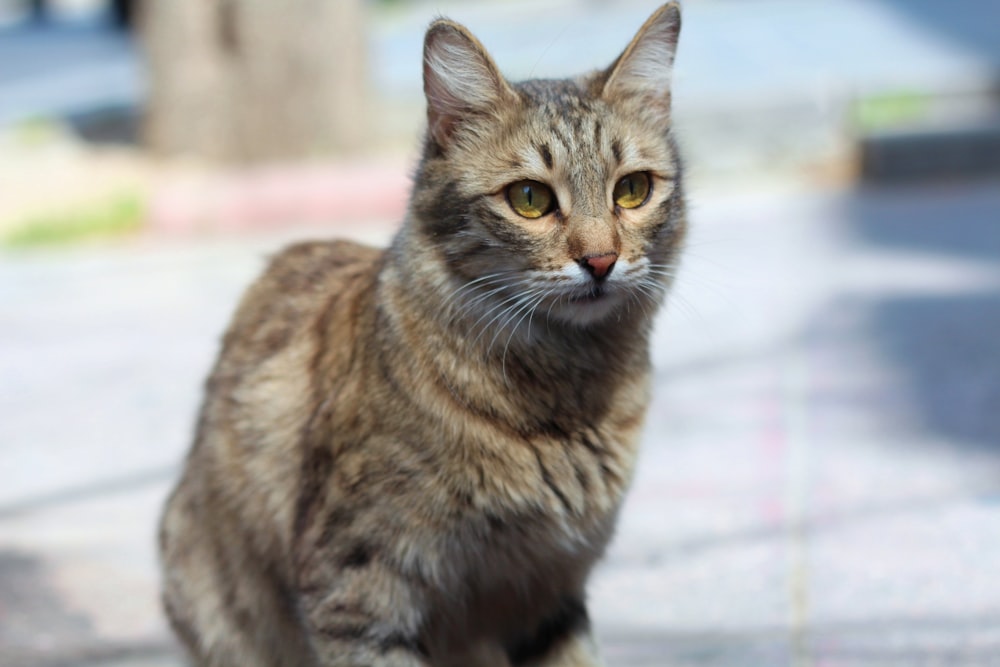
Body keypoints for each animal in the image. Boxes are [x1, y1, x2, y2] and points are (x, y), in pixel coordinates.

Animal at [158, 2, 688, 664]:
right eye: (530, 198)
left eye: (632, 190)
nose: (600, 260)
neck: (567, 396)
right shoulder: (358, 590)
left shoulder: (548, 589)